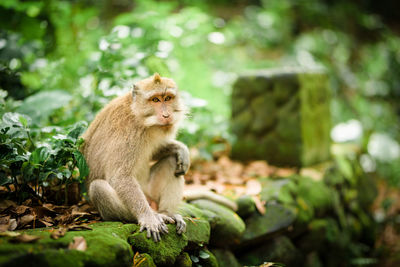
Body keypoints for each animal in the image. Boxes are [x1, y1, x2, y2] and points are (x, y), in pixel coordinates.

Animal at [82, 73, 190, 243]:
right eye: (155, 100)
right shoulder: (128, 133)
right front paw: (148, 218)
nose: (166, 115)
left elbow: (155, 151)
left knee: (173, 162)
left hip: (150, 193)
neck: (139, 116)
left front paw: (180, 149)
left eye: (167, 98)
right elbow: (120, 176)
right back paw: (155, 216)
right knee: (98, 187)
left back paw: (166, 213)